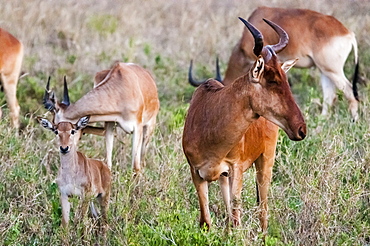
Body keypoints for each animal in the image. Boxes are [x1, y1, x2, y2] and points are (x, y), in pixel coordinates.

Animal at [182, 18, 306, 232]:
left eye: (285, 78)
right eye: (272, 80)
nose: (301, 129)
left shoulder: (236, 170)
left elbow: (235, 220)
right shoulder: (197, 173)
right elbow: (207, 221)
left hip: (265, 162)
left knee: (263, 210)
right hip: (223, 177)